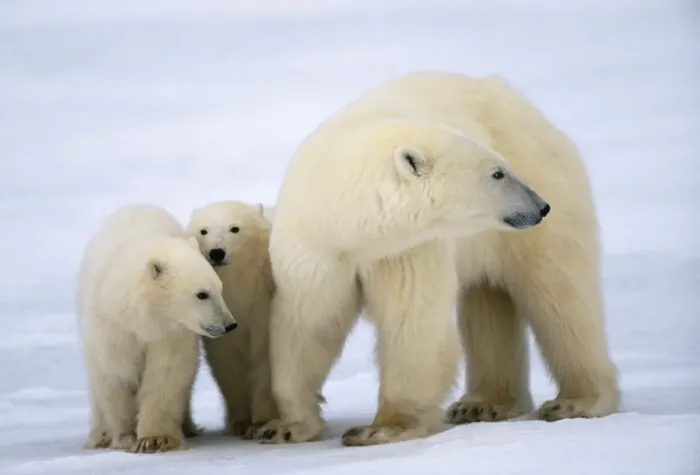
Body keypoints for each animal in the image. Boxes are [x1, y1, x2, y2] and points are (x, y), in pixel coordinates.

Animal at [76, 203, 237, 453]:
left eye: (219, 289)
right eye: (201, 294)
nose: (229, 325)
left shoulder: (171, 333)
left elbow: (165, 373)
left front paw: (155, 439)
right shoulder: (113, 328)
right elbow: (116, 374)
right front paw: (125, 437)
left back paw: (187, 427)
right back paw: (99, 437)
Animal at [253, 71, 620, 448]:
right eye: (497, 174)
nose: (541, 206)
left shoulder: (406, 249)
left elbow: (411, 323)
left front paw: (380, 428)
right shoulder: (316, 251)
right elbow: (308, 324)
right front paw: (285, 426)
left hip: (545, 197)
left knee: (561, 297)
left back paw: (576, 401)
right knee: (489, 299)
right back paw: (484, 404)